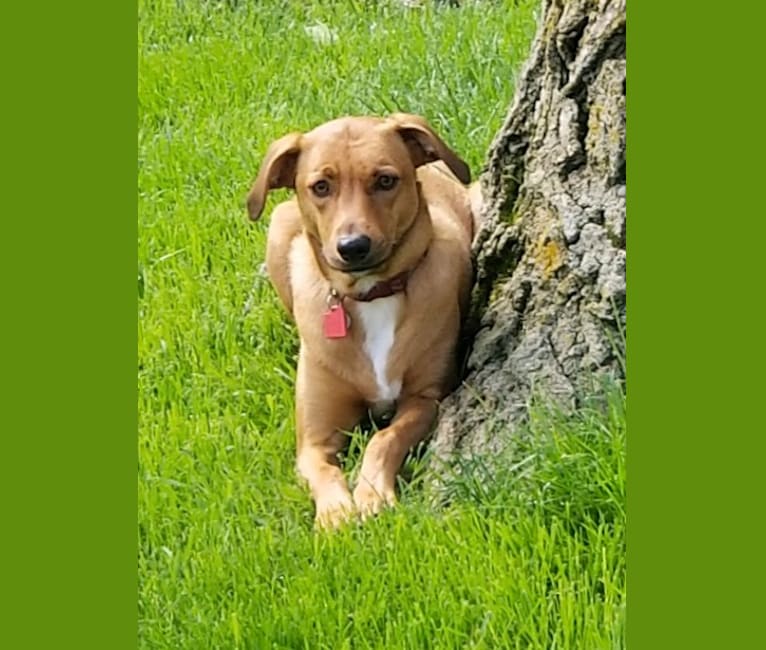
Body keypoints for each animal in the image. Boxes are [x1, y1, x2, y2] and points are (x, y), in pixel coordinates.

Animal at [249, 112, 480, 528]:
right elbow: (323, 470)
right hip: (277, 227)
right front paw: (336, 512)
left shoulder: (425, 399)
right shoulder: (314, 439)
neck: (372, 295)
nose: (353, 247)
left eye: (385, 180)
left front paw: (372, 493)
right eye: (321, 186)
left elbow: (383, 438)